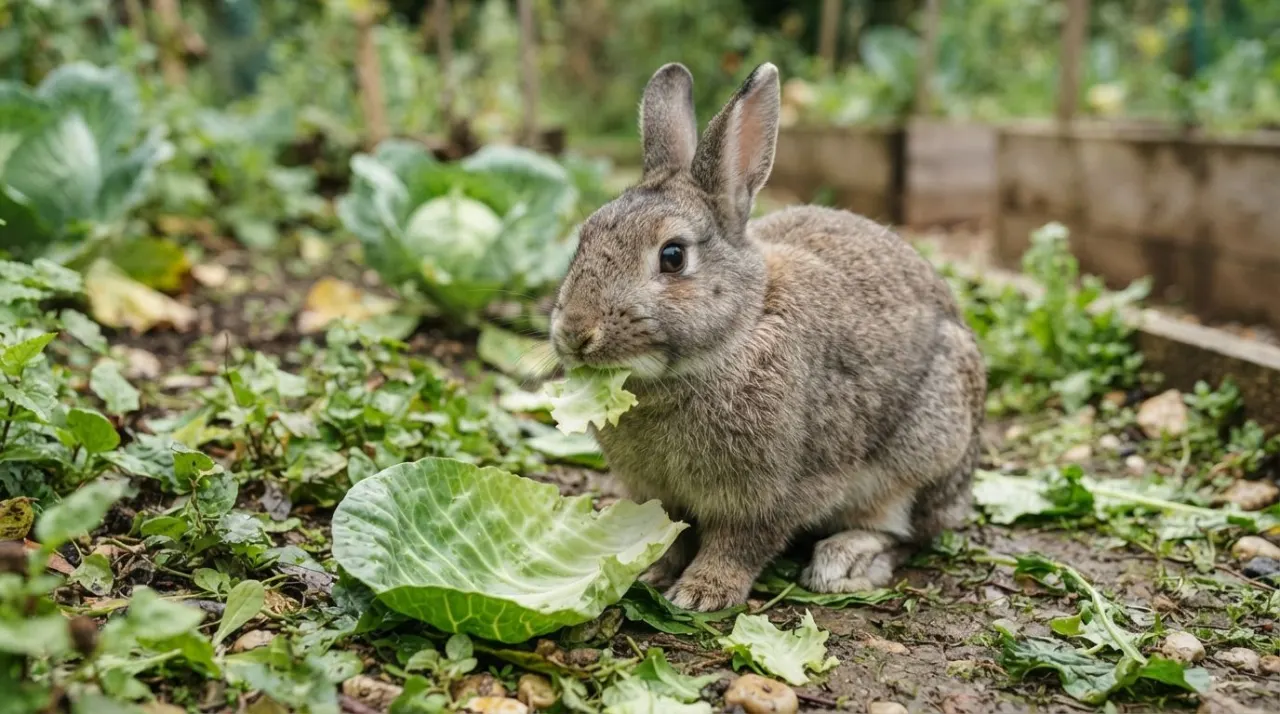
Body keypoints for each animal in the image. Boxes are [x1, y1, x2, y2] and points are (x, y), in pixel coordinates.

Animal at [549, 62, 986, 612]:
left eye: (673, 256)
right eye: (583, 238)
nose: (574, 332)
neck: (737, 332)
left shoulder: (782, 491)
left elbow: (741, 542)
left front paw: (702, 592)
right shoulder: (659, 493)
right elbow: (670, 530)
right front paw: (650, 569)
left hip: (925, 453)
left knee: (908, 531)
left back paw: (845, 560)